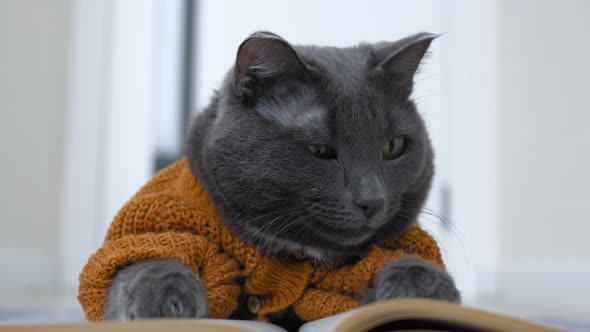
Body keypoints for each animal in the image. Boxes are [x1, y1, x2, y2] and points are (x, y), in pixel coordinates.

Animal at [104, 30, 460, 322]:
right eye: (320, 150)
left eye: (393, 147)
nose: (372, 200)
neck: (300, 249)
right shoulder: (162, 219)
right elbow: (142, 258)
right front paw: (165, 300)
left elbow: (400, 258)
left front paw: (425, 290)